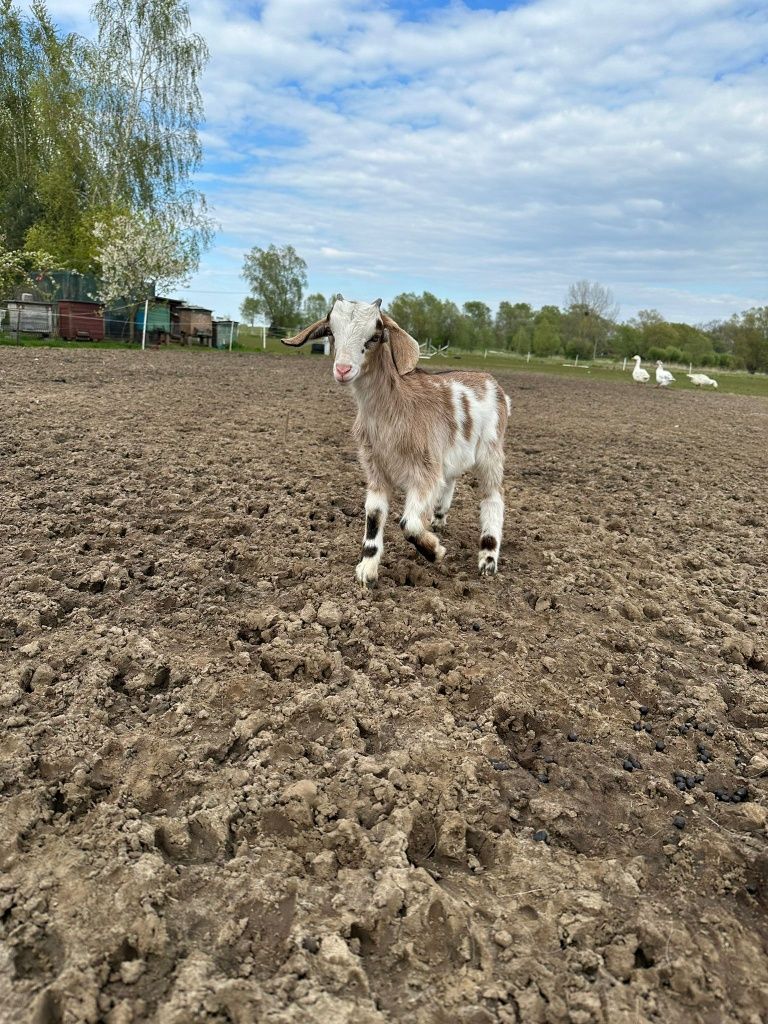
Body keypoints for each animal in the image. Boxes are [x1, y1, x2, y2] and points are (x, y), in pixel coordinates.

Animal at [284, 296, 512, 585]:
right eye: (332, 332)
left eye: (374, 335)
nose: (343, 369)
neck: (393, 411)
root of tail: (491, 382)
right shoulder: (376, 469)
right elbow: (374, 515)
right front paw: (367, 570)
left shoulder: (424, 473)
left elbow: (409, 524)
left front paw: (434, 551)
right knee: (451, 480)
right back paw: (438, 519)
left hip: (491, 451)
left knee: (493, 496)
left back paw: (488, 558)